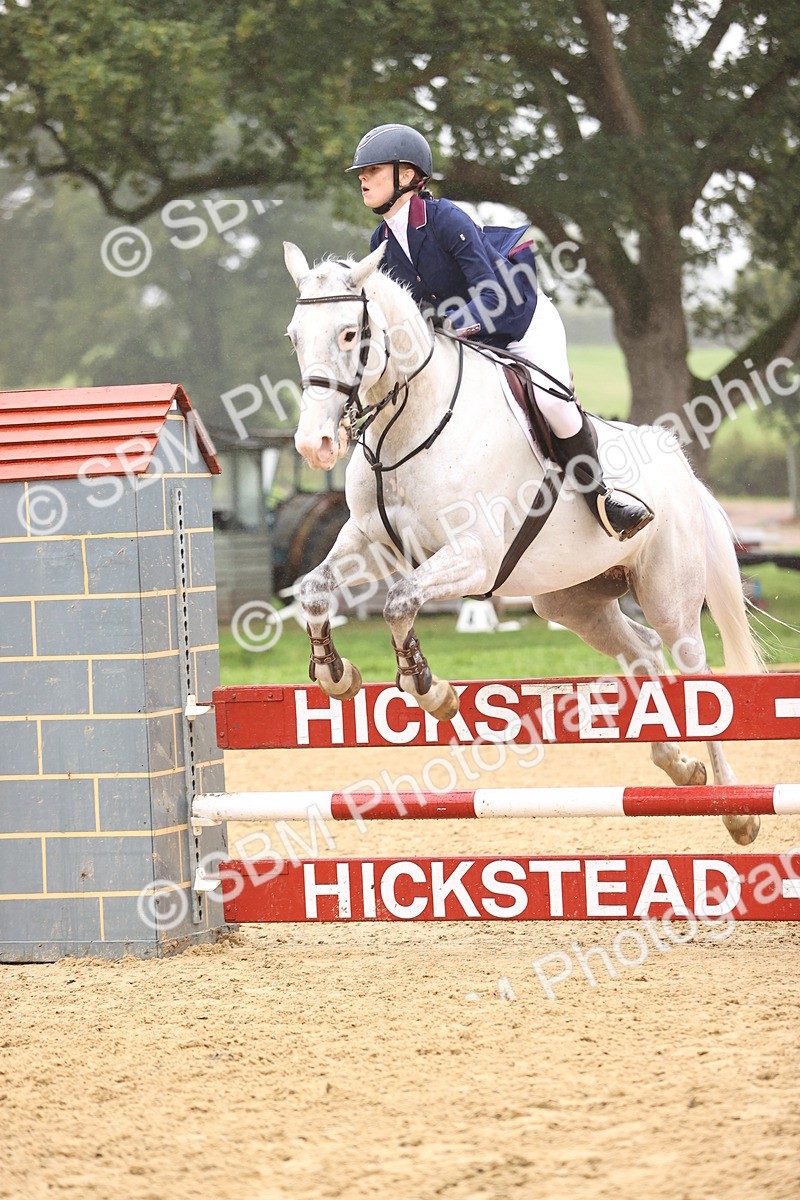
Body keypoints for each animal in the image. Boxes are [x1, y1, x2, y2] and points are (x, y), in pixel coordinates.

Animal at [283, 240, 765, 846]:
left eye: (350, 334)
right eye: (294, 336)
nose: (315, 445)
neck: (410, 422)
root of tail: (679, 465)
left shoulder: (474, 557)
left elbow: (398, 602)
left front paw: (429, 689)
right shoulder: (373, 544)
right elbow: (315, 590)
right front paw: (335, 673)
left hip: (669, 594)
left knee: (695, 676)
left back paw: (736, 808)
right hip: (572, 601)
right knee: (641, 650)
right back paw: (678, 765)